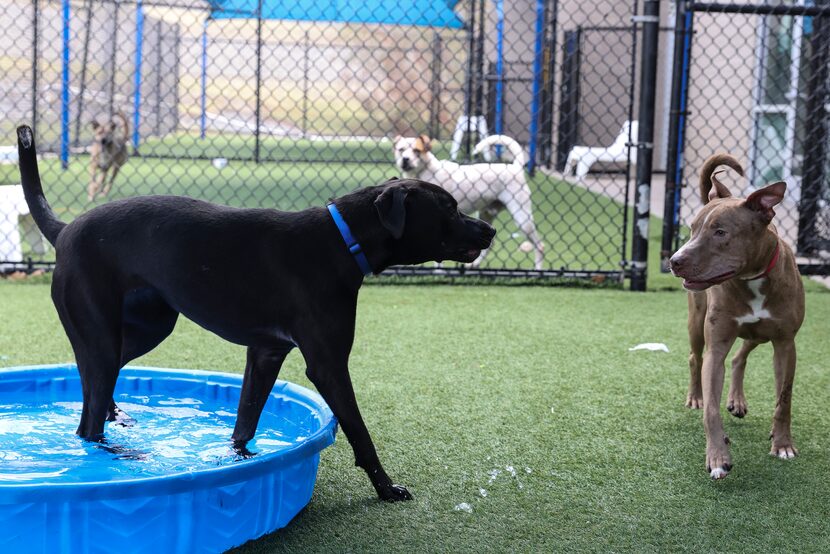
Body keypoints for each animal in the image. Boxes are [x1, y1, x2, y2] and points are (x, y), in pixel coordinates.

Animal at [14, 127, 494, 502]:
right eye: (449, 208)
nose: (490, 230)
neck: (341, 240)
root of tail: (64, 230)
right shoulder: (328, 364)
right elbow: (359, 430)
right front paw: (386, 488)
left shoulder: (266, 354)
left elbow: (246, 421)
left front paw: (240, 461)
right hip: (103, 335)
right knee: (87, 424)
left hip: (143, 329)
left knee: (96, 384)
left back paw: (120, 417)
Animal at [394, 134, 544, 268]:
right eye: (401, 149)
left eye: (416, 150)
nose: (405, 159)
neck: (426, 171)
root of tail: (515, 167)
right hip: (486, 214)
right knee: (491, 244)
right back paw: (475, 264)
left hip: (522, 218)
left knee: (540, 246)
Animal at [668, 152, 808, 478]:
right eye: (692, 228)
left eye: (721, 232)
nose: (674, 260)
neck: (751, 278)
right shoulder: (716, 345)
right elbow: (711, 408)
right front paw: (718, 456)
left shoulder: (786, 345)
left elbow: (784, 399)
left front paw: (783, 444)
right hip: (697, 323)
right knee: (696, 358)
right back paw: (696, 396)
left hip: (759, 334)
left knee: (740, 356)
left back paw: (737, 400)